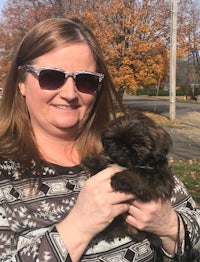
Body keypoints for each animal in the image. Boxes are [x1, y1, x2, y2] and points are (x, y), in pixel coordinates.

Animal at [82, 110, 174, 248]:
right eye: (114, 140)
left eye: (137, 143)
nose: (124, 147)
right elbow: (106, 159)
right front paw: (93, 160)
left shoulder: (160, 178)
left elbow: (140, 174)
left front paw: (122, 178)